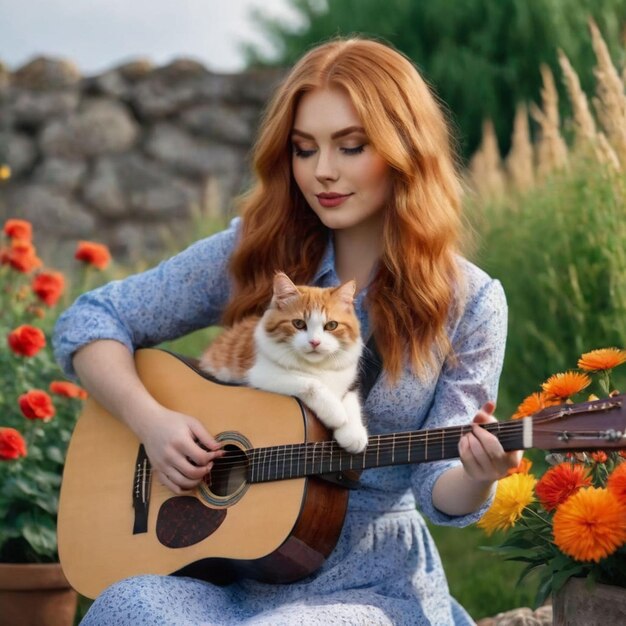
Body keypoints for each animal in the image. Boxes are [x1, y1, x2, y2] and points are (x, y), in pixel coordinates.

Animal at [197, 270, 368, 450]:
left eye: (331, 325)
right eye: (298, 323)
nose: (315, 342)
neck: (317, 367)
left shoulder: (349, 379)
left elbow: (351, 400)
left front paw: (354, 433)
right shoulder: (262, 375)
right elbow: (311, 383)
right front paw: (336, 412)